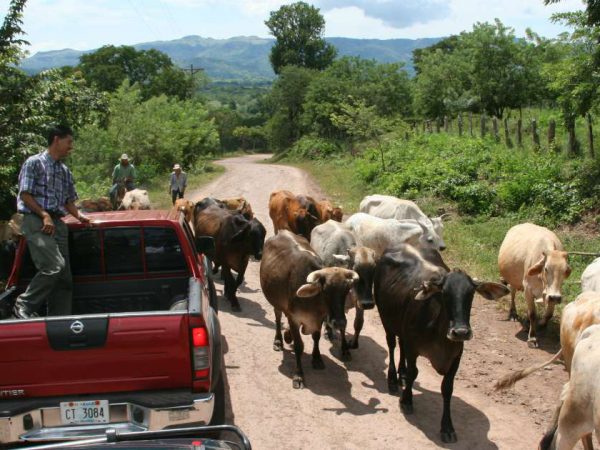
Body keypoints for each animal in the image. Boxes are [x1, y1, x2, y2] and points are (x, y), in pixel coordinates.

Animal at [260, 230, 358, 388]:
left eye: (346, 290)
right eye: (326, 291)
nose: (340, 323)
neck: (313, 303)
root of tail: (282, 232)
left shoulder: (319, 319)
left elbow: (316, 337)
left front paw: (317, 359)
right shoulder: (294, 318)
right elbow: (299, 346)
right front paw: (299, 375)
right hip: (277, 304)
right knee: (278, 318)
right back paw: (279, 341)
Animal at [376, 244, 506, 442]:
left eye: (471, 294)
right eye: (444, 294)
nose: (460, 332)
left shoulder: (456, 356)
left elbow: (447, 388)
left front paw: (447, 427)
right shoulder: (413, 347)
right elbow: (414, 372)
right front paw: (406, 400)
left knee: (401, 347)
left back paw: (401, 373)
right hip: (387, 321)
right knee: (391, 346)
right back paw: (392, 379)